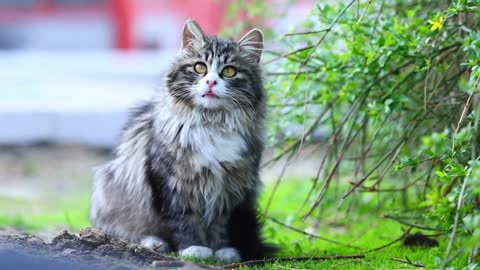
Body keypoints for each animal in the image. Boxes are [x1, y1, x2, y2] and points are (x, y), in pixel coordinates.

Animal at [88, 19, 272, 264]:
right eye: (200, 68)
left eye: (229, 71)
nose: (211, 82)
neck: (211, 122)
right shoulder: (172, 184)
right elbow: (184, 221)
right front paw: (194, 248)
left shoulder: (229, 190)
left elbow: (220, 226)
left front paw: (222, 251)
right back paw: (154, 242)